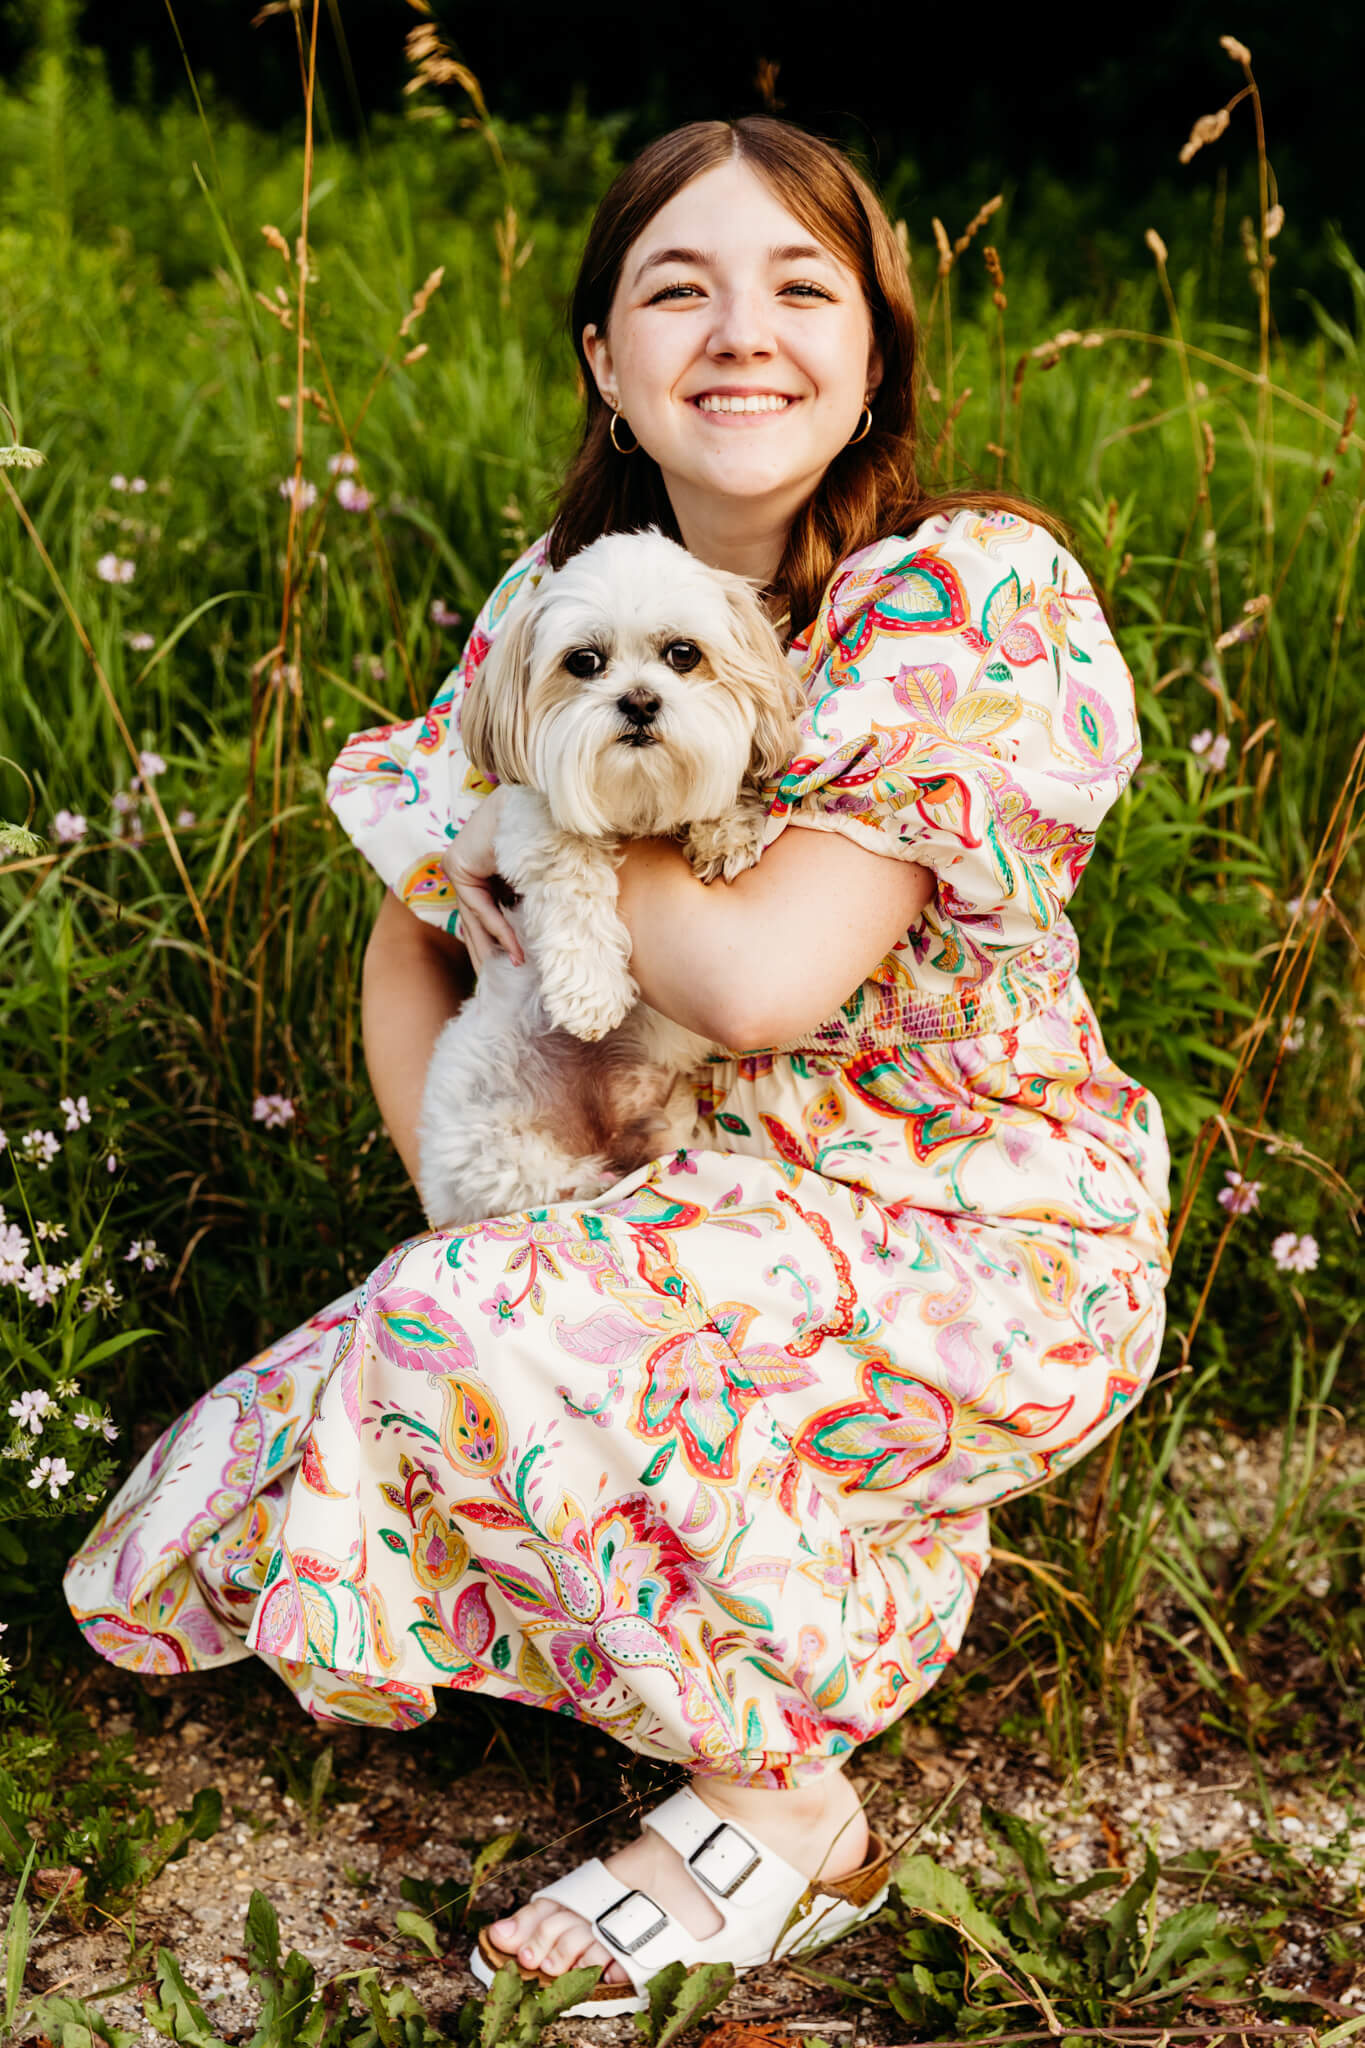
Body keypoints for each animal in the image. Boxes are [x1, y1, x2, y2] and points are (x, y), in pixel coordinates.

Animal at [413, 532, 802, 1228]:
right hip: (500, 1153)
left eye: (683, 654)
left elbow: (718, 794)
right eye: (585, 661)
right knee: (554, 1187)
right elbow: (570, 874)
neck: (639, 802)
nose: (640, 700)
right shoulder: (534, 818)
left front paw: (726, 831)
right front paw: (590, 992)